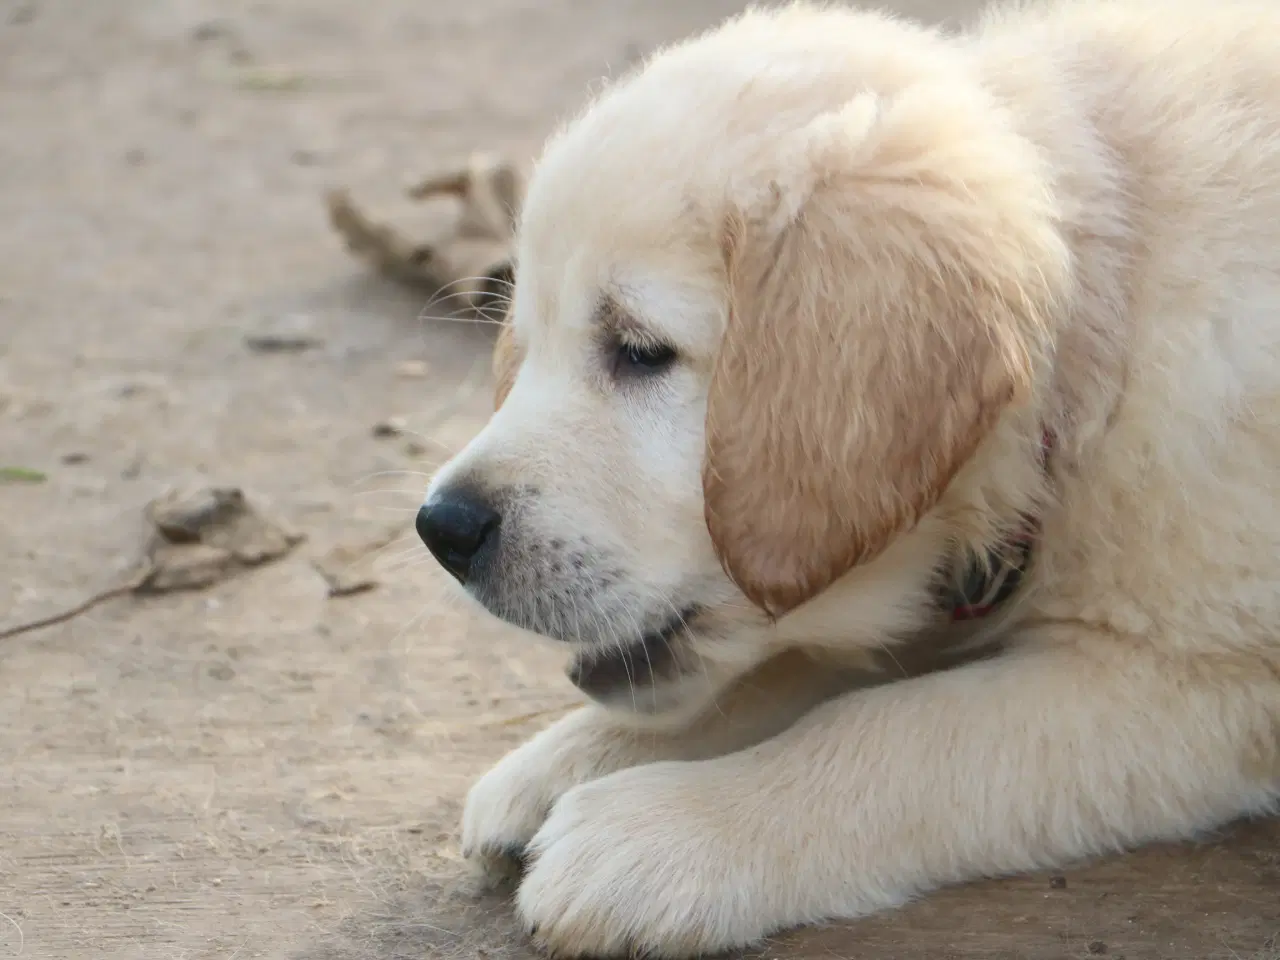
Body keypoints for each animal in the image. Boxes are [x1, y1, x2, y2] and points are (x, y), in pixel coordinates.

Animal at [414, 1, 1280, 957]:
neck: (1099, 342)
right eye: (531, 343)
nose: (442, 529)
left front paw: (660, 835)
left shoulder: (1203, 679)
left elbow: (897, 730)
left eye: (640, 350)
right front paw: (560, 764)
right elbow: (773, 675)